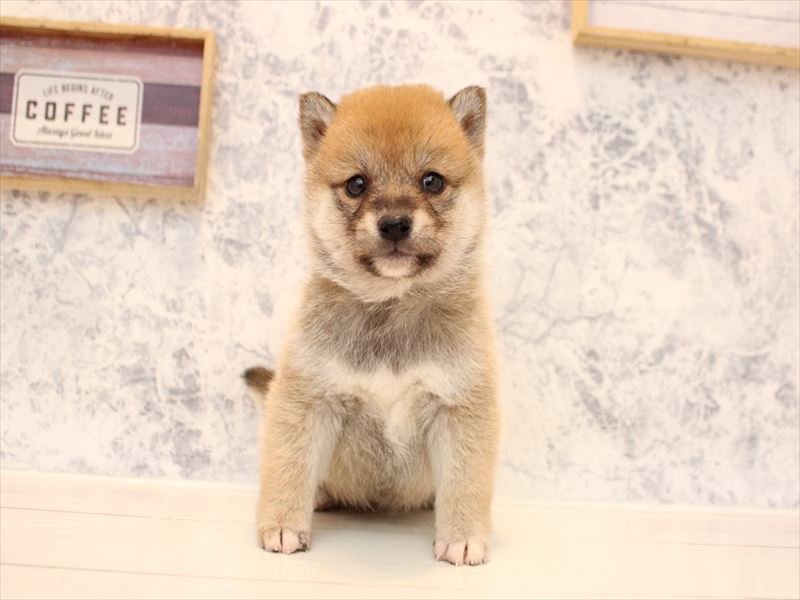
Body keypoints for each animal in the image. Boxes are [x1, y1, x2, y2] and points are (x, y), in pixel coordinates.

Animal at [244, 84, 500, 566]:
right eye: (356, 184)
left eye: (432, 181)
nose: (395, 224)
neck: (391, 306)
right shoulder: (308, 401)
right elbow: (289, 467)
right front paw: (283, 524)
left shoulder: (459, 409)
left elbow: (465, 481)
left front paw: (462, 536)